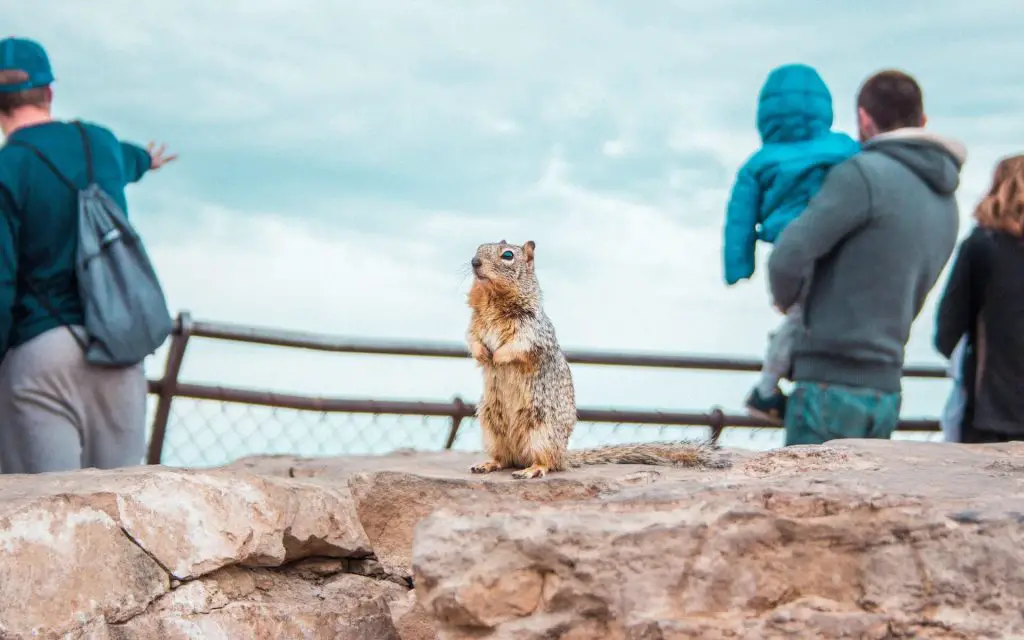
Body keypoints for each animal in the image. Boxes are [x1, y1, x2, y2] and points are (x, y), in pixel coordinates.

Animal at [464, 239, 729, 479]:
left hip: (541, 431)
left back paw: (533, 469)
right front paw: (483, 354)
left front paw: (497, 356)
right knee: (504, 459)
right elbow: (472, 341)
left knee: (547, 462)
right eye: (478, 248)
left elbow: (518, 347)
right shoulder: (474, 327)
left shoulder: (531, 332)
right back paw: (487, 464)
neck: (493, 301)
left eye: (508, 255)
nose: (474, 261)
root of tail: (563, 455)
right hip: (490, 428)